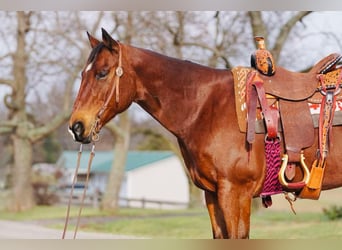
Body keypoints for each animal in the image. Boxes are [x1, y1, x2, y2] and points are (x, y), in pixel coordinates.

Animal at [67, 28, 342, 239]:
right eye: (82, 74)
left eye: (102, 73)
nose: (76, 126)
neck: (206, 107)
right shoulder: (212, 194)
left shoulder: (235, 193)